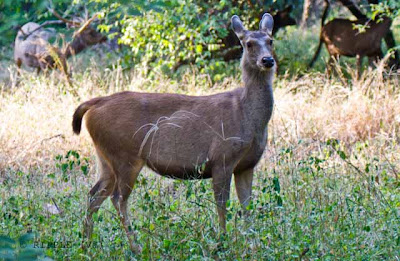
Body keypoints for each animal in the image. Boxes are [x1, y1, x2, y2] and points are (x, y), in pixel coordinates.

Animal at [72, 12, 276, 252]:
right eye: (249, 43)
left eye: (270, 41)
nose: (267, 60)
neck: (248, 117)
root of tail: (95, 104)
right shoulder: (222, 158)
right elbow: (222, 205)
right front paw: (222, 242)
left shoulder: (247, 165)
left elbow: (247, 207)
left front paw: (253, 242)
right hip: (124, 155)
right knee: (118, 198)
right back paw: (136, 247)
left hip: (105, 158)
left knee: (93, 195)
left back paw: (86, 245)